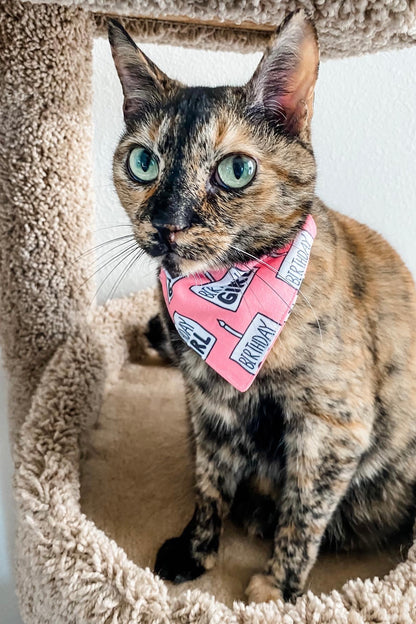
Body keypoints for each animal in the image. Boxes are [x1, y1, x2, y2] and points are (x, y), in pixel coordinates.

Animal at [108, 12, 416, 604]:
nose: (167, 221)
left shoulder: (332, 426)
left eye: (235, 171)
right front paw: (196, 552)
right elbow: (209, 485)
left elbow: (304, 513)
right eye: (143, 162)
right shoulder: (209, 408)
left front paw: (277, 587)